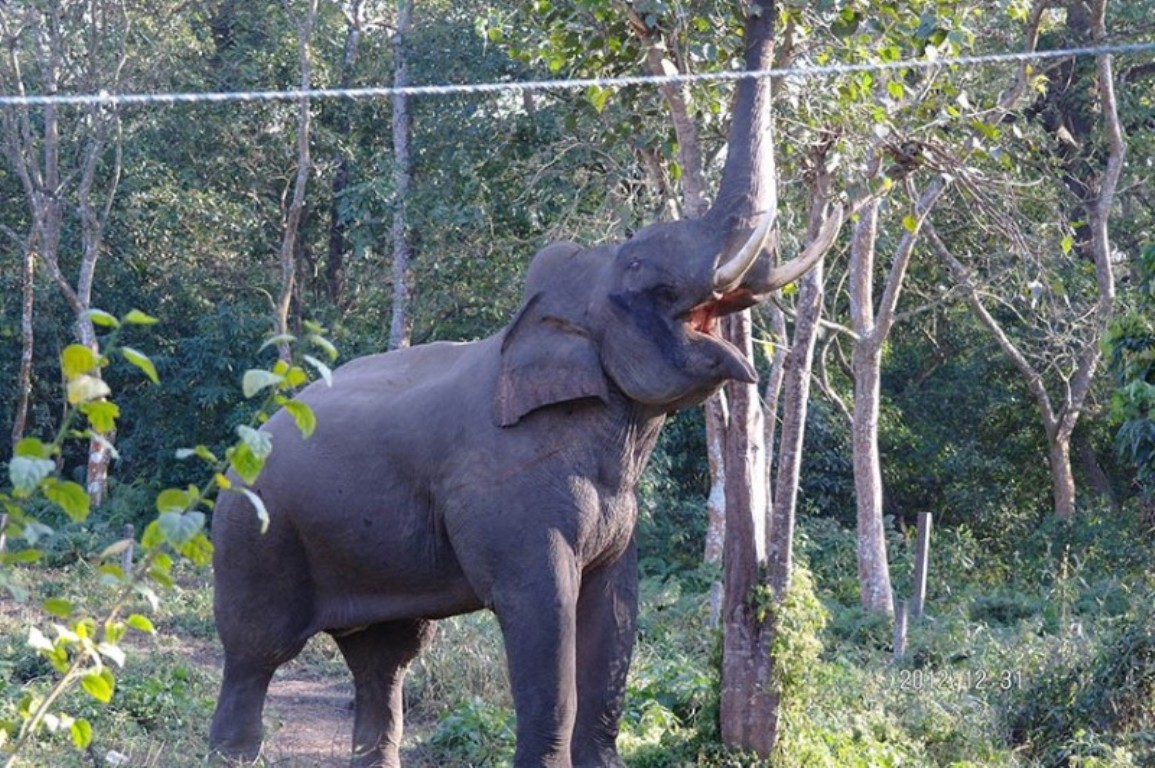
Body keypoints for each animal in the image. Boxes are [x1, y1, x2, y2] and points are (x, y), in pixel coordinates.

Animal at [210, 203, 822, 766]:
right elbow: (541, 612)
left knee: (386, 657)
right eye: (646, 273)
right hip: (256, 535)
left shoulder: (616, 518)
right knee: (256, 650)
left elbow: (615, 615)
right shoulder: (506, 493)